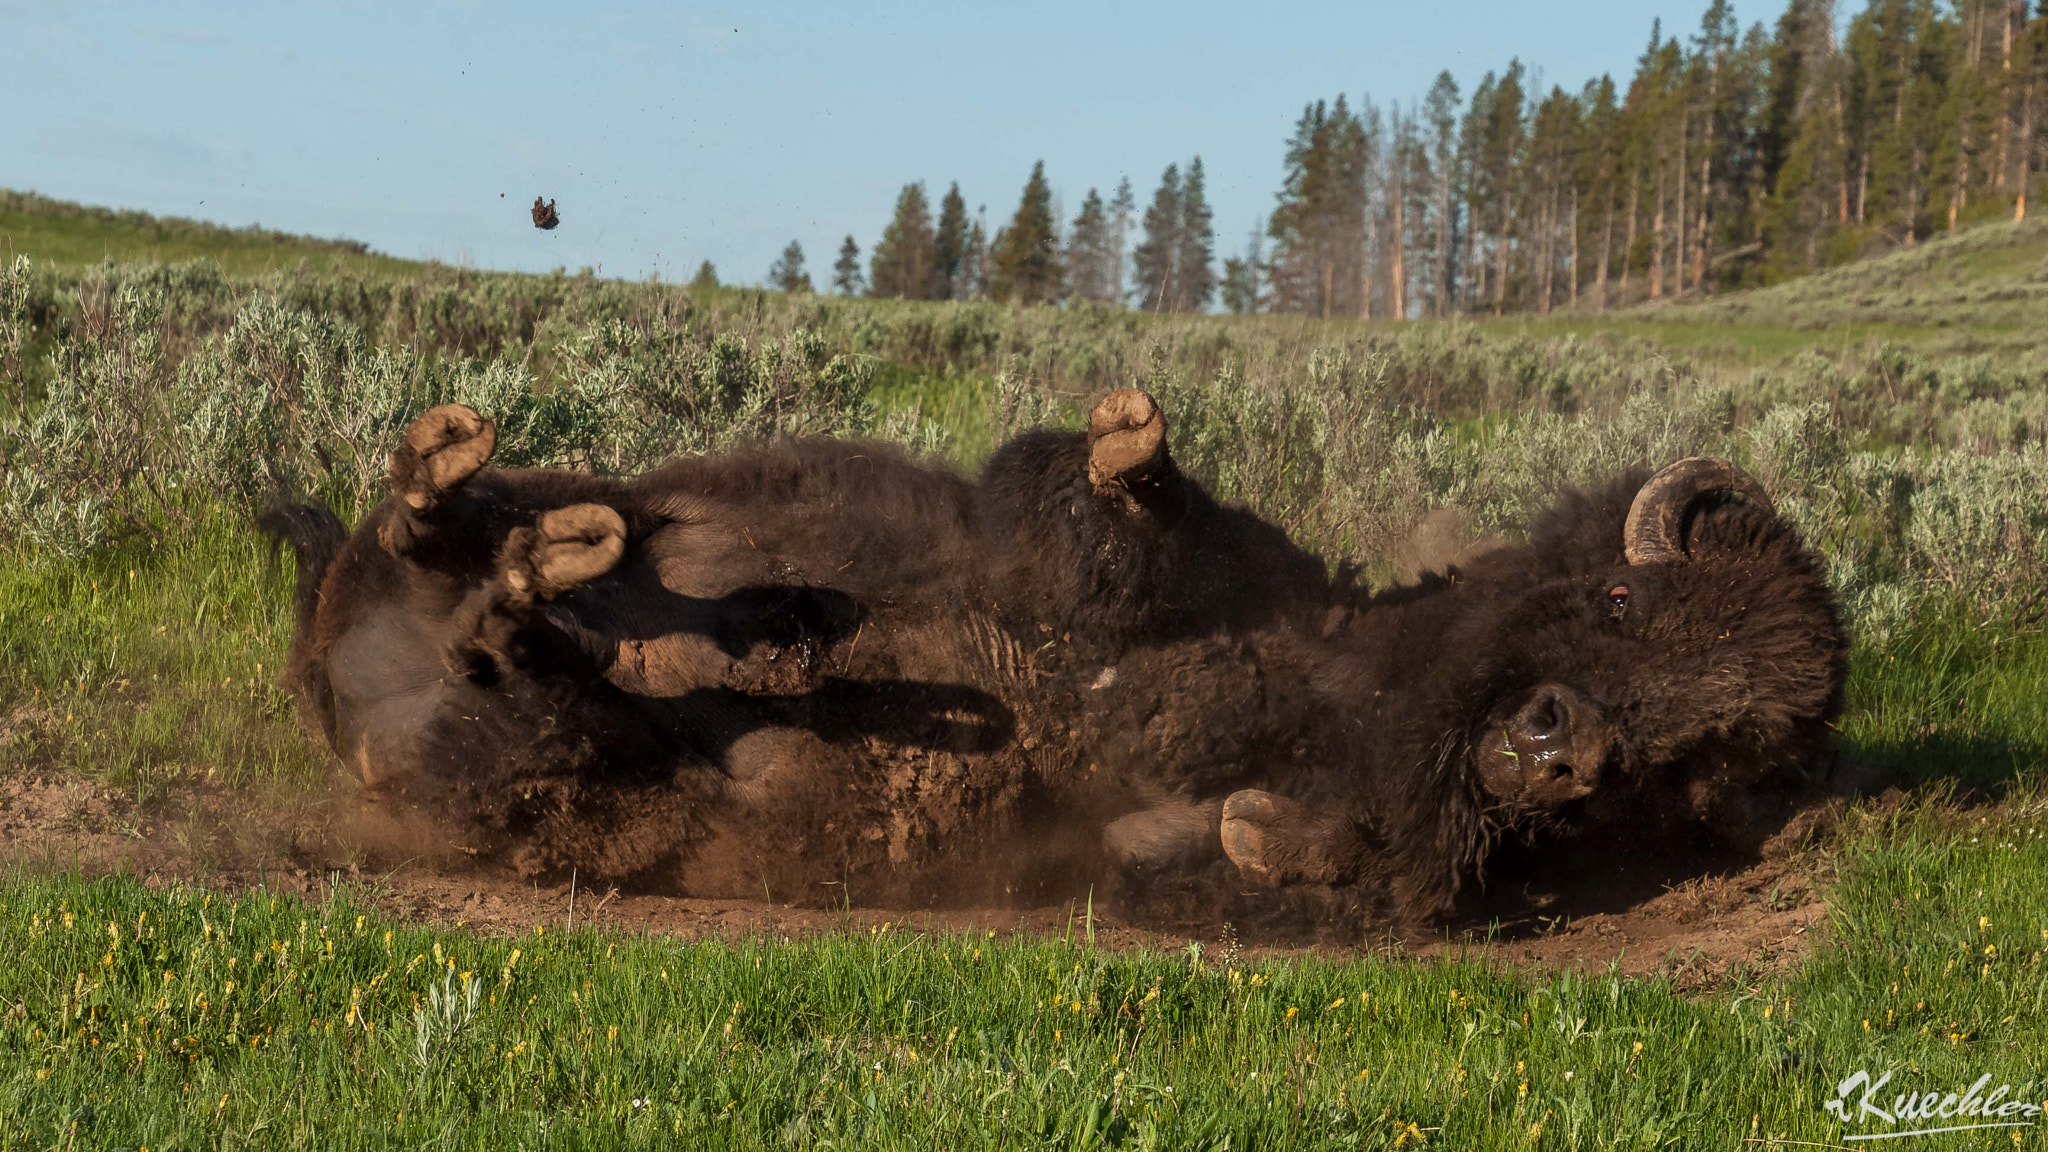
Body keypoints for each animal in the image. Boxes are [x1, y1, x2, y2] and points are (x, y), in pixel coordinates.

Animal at [264, 391, 1848, 926]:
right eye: (1625, 605)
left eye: (1672, 761)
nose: (1562, 745)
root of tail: (352, 696)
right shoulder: (1182, 578)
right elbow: (1110, 528)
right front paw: (1130, 447)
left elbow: (1307, 864)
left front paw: (1273, 832)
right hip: (527, 513)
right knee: (464, 532)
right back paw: (465, 484)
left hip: (554, 775)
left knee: (539, 702)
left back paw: (533, 598)